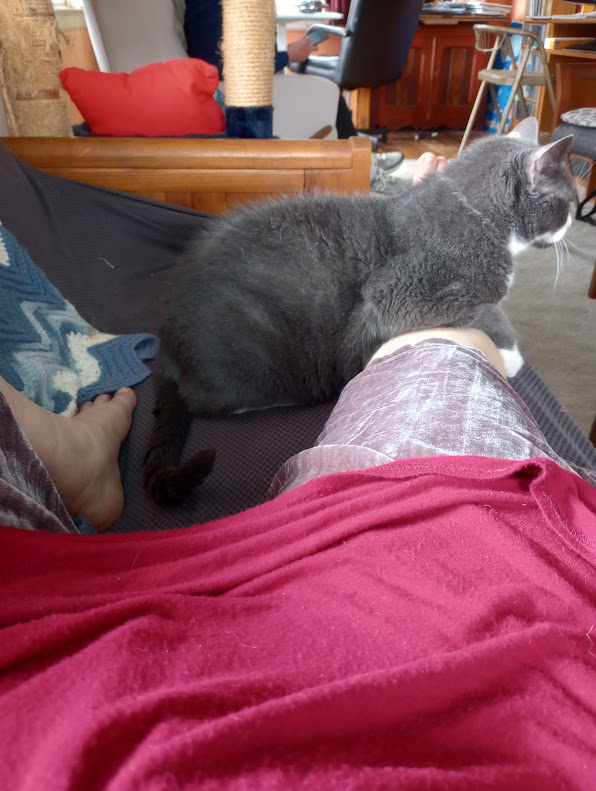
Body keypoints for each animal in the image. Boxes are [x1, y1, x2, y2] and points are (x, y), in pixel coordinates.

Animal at [144, 116, 574, 506]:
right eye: (566, 201)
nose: (571, 223)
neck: (477, 215)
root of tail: (167, 338)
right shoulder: (398, 294)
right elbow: (489, 311)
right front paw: (512, 356)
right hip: (251, 356)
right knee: (203, 398)